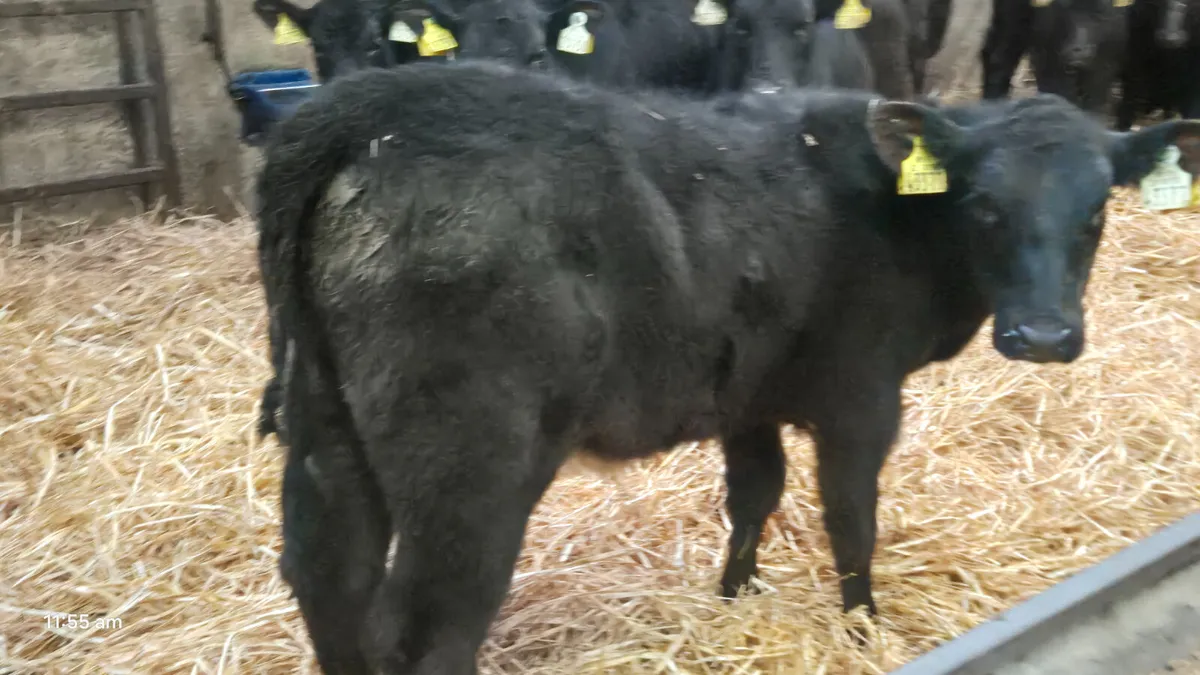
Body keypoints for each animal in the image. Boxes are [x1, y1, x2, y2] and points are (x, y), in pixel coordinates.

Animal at [254, 60, 1200, 673]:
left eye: (1096, 213)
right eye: (986, 206)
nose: (1043, 334)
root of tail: (375, 103)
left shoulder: (748, 391)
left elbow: (754, 494)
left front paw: (734, 596)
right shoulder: (863, 394)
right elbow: (850, 518)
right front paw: (863, 626)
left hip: (325, 424)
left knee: (329, 581)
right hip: (468, 460)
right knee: (424, 626)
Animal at [981, 0, 1129, 115]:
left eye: (1100, 13)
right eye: (1063, 9)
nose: (1078, 51)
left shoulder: (1106, 65)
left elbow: (1094, 99)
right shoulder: (1046, 58)